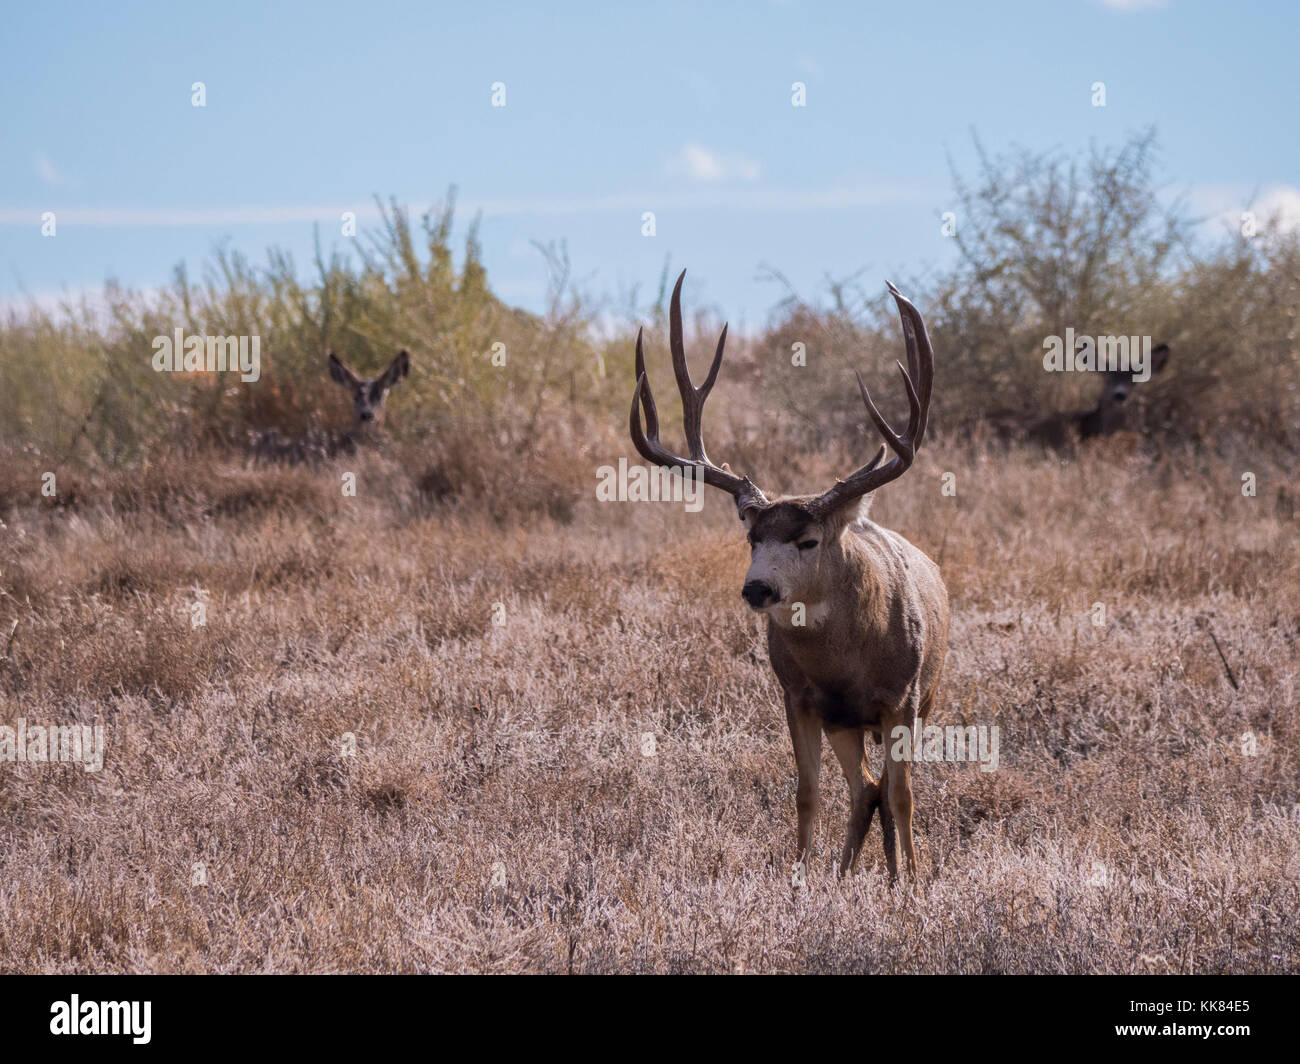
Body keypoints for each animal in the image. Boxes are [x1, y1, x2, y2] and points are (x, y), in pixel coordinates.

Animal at [629, 270, 947, 883]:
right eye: (752, 538)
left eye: (808, 540)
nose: (758, 588)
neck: (847, 658)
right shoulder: (798, 697)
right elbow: (807, 793)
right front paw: (799, 878)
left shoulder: (901, 698)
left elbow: (906, 797)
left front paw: (913, 885)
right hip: (844, 722)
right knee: (864, 790)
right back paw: (844, 875)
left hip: (925, 699)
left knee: (886, 790)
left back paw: (894, 873)